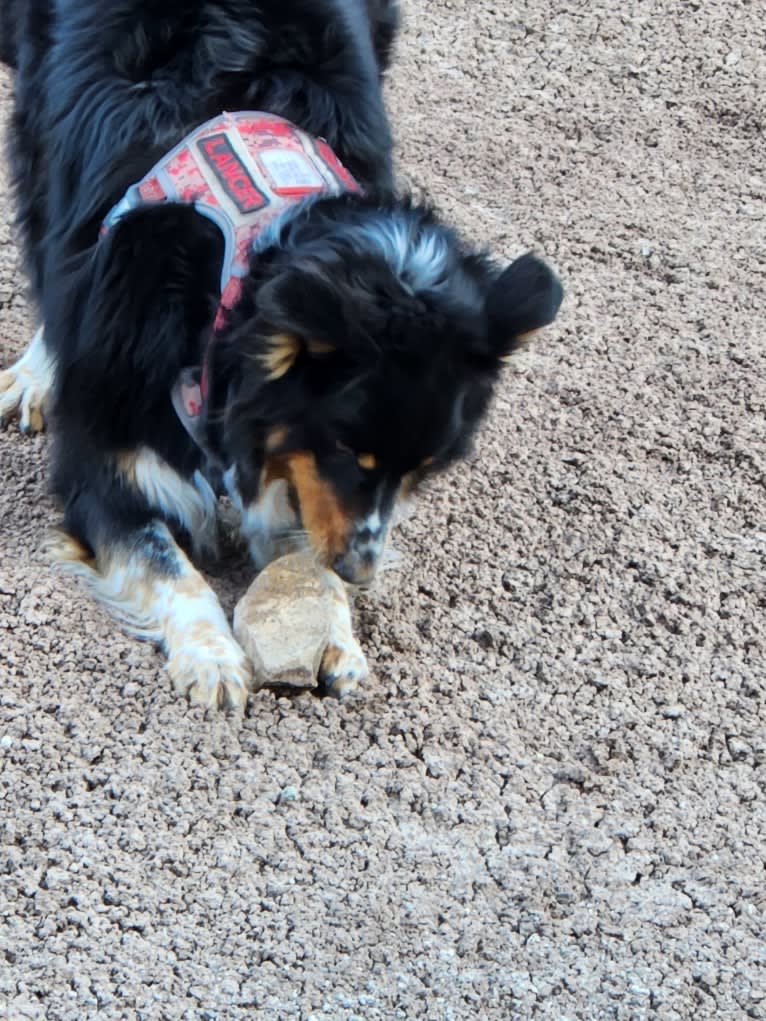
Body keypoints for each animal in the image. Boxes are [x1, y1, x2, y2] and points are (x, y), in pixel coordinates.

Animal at [0, 0, 563, 706]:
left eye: (424, 468)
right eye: (348, 450)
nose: (361, 572)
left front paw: (334, 630)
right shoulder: (110, 446)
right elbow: (167, 564)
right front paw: (212, 657)